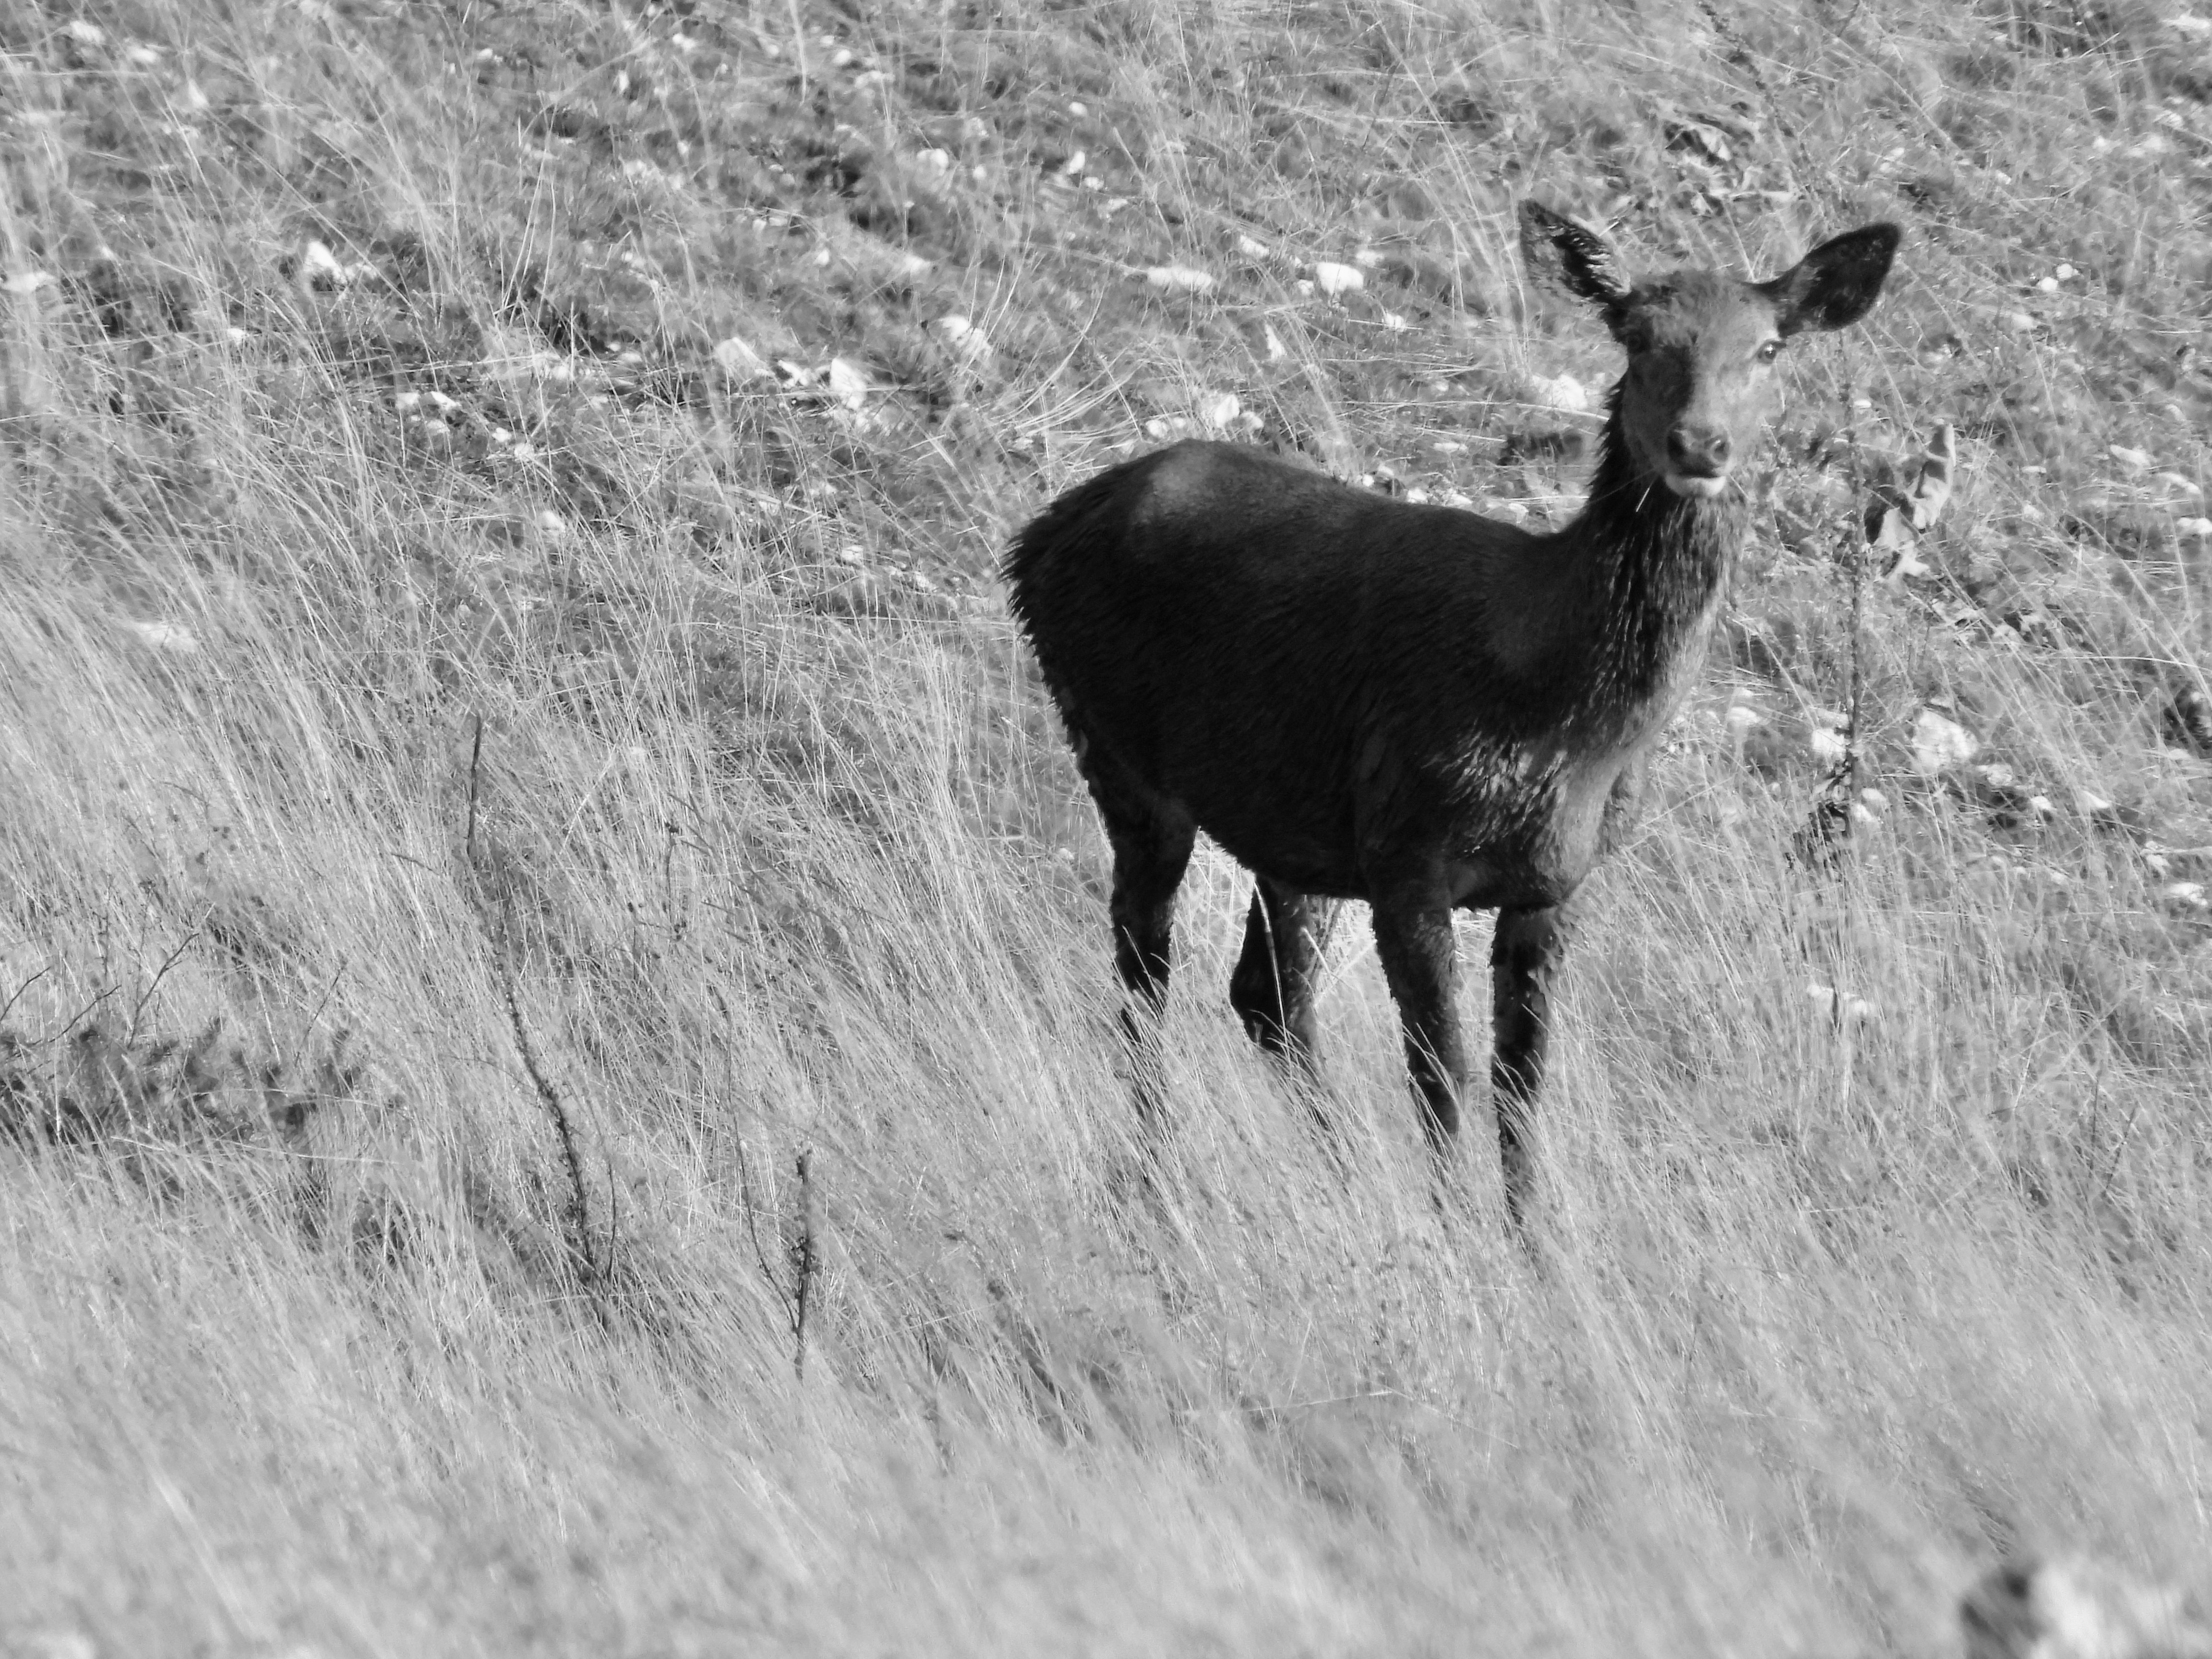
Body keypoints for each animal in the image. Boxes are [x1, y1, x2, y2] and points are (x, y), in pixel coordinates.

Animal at [1013, 204, 1893, 1221]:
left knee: (1266, 995)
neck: (1562, 718)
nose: (1698, 446)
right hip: (1117, 747)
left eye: (1769, 346)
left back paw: (1340, 1175)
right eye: (1634, 336)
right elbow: (1443, 1077)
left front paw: (1529, 1242)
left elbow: (1523, 1084)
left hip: (1291, 828)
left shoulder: (1556, 885)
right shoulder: (1408, 856)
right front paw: (1454, 1233)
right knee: (1145, 968)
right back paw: (1157, 1176)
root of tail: (1034, 537)